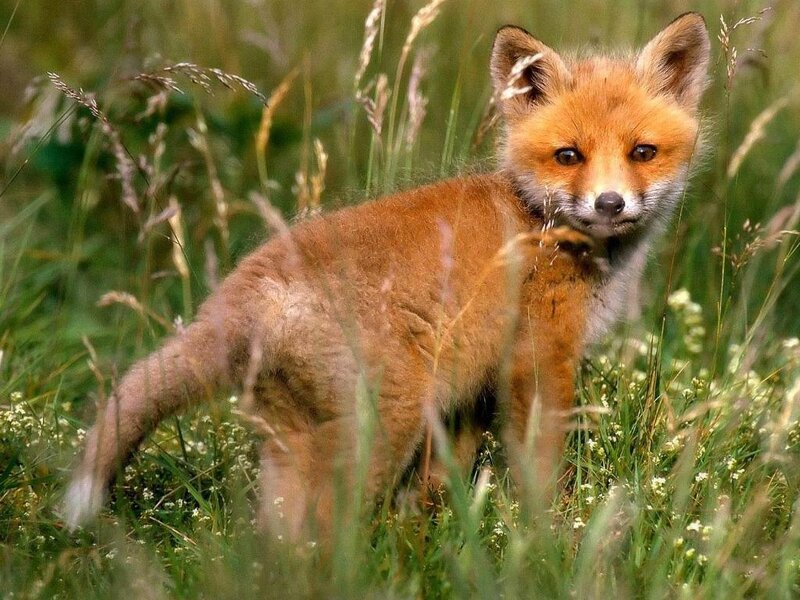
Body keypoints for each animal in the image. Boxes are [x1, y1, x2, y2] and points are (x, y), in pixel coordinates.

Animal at [64, 13, 710, 541]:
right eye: (569, 156)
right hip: (383, 425)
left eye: (643, 152)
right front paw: (553, 539)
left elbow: (440, 486)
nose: (610, 204)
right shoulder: (538, 360)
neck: (540, 223)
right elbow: (542, 473)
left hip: (294, 441)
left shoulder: (469, 392)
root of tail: (239, 293)